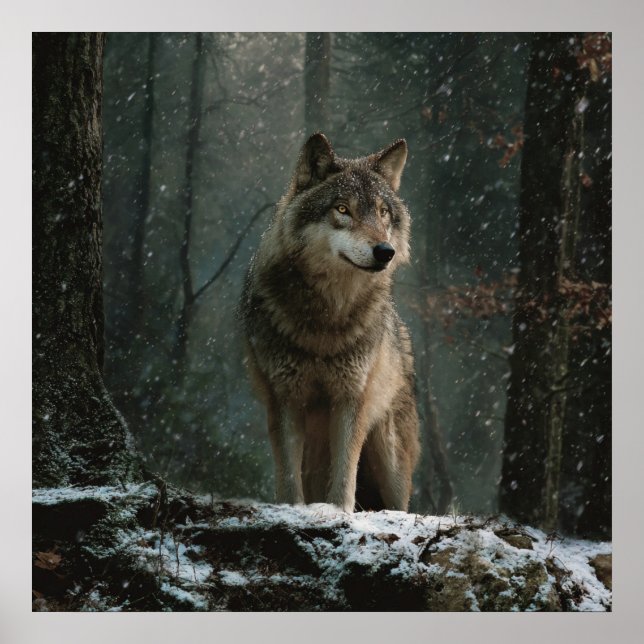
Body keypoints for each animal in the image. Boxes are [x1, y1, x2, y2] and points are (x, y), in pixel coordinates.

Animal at [239, 133, 420, 513]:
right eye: (342, 209)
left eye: (382, 212)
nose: (385, 251)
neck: (326, 320)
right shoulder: (285, 398)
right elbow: (288, 477)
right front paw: (295, 511)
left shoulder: (351, 399)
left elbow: (344, 476)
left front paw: (340, 513)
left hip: (390, 458)